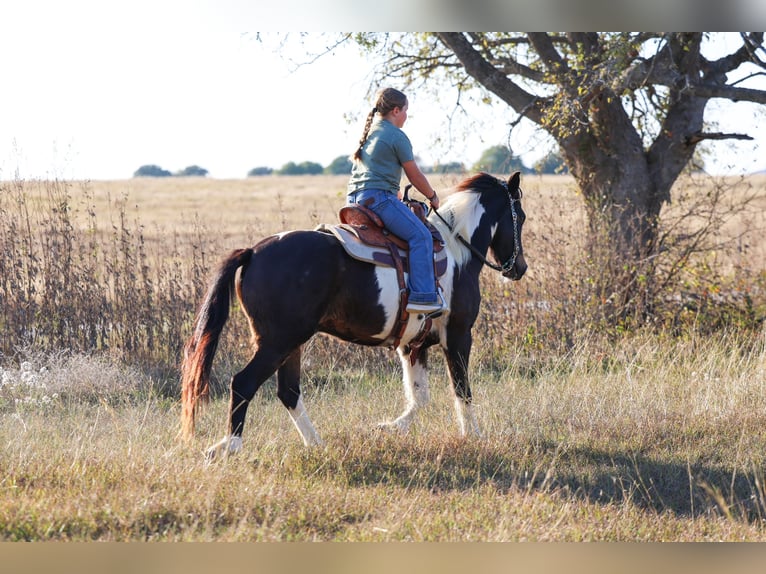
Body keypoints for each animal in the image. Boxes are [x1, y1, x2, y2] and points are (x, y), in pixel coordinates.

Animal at [180, 171, 527, 459]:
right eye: (520, 217)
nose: (519, 268)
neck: (457, 252)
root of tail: (253, 252)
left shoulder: (413, 345)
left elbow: (420, 396)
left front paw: (389, 428)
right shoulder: (457, 336)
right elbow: (462, 390)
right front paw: (473, 436)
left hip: (291, 343)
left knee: (288, 391)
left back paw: (315, 444)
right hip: (278, 342)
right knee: (244, 383)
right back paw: (229, 447)